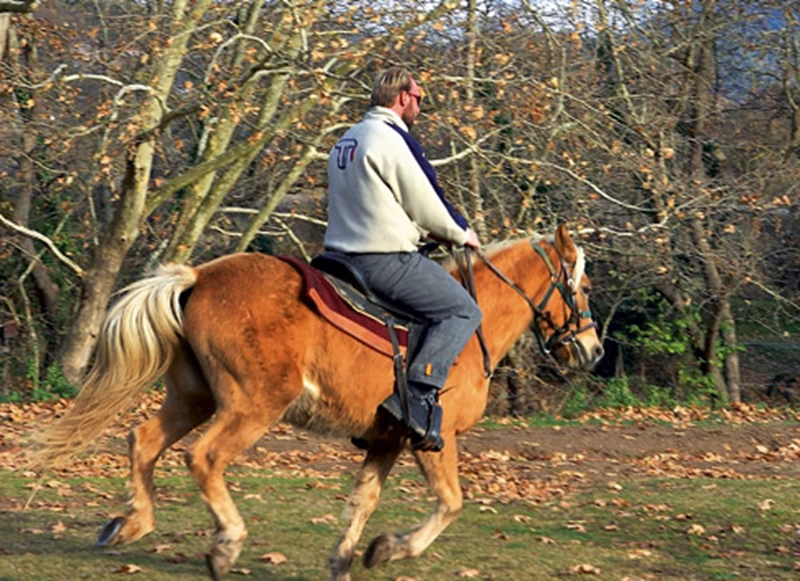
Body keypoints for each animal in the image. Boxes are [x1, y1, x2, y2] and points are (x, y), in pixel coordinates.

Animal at [34, 223, 604, 580]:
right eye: (584, 288)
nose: (594, 350)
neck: (472, 325)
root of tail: (199, 277)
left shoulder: (387, 441)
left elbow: (362, 503)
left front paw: (346, 560)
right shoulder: (434, 440)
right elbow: (451, 503)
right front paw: (392, 549)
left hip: (192, 399)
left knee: (144, 440)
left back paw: (131, 523)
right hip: (251, 406)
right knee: (204, 457)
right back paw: (226, 543)